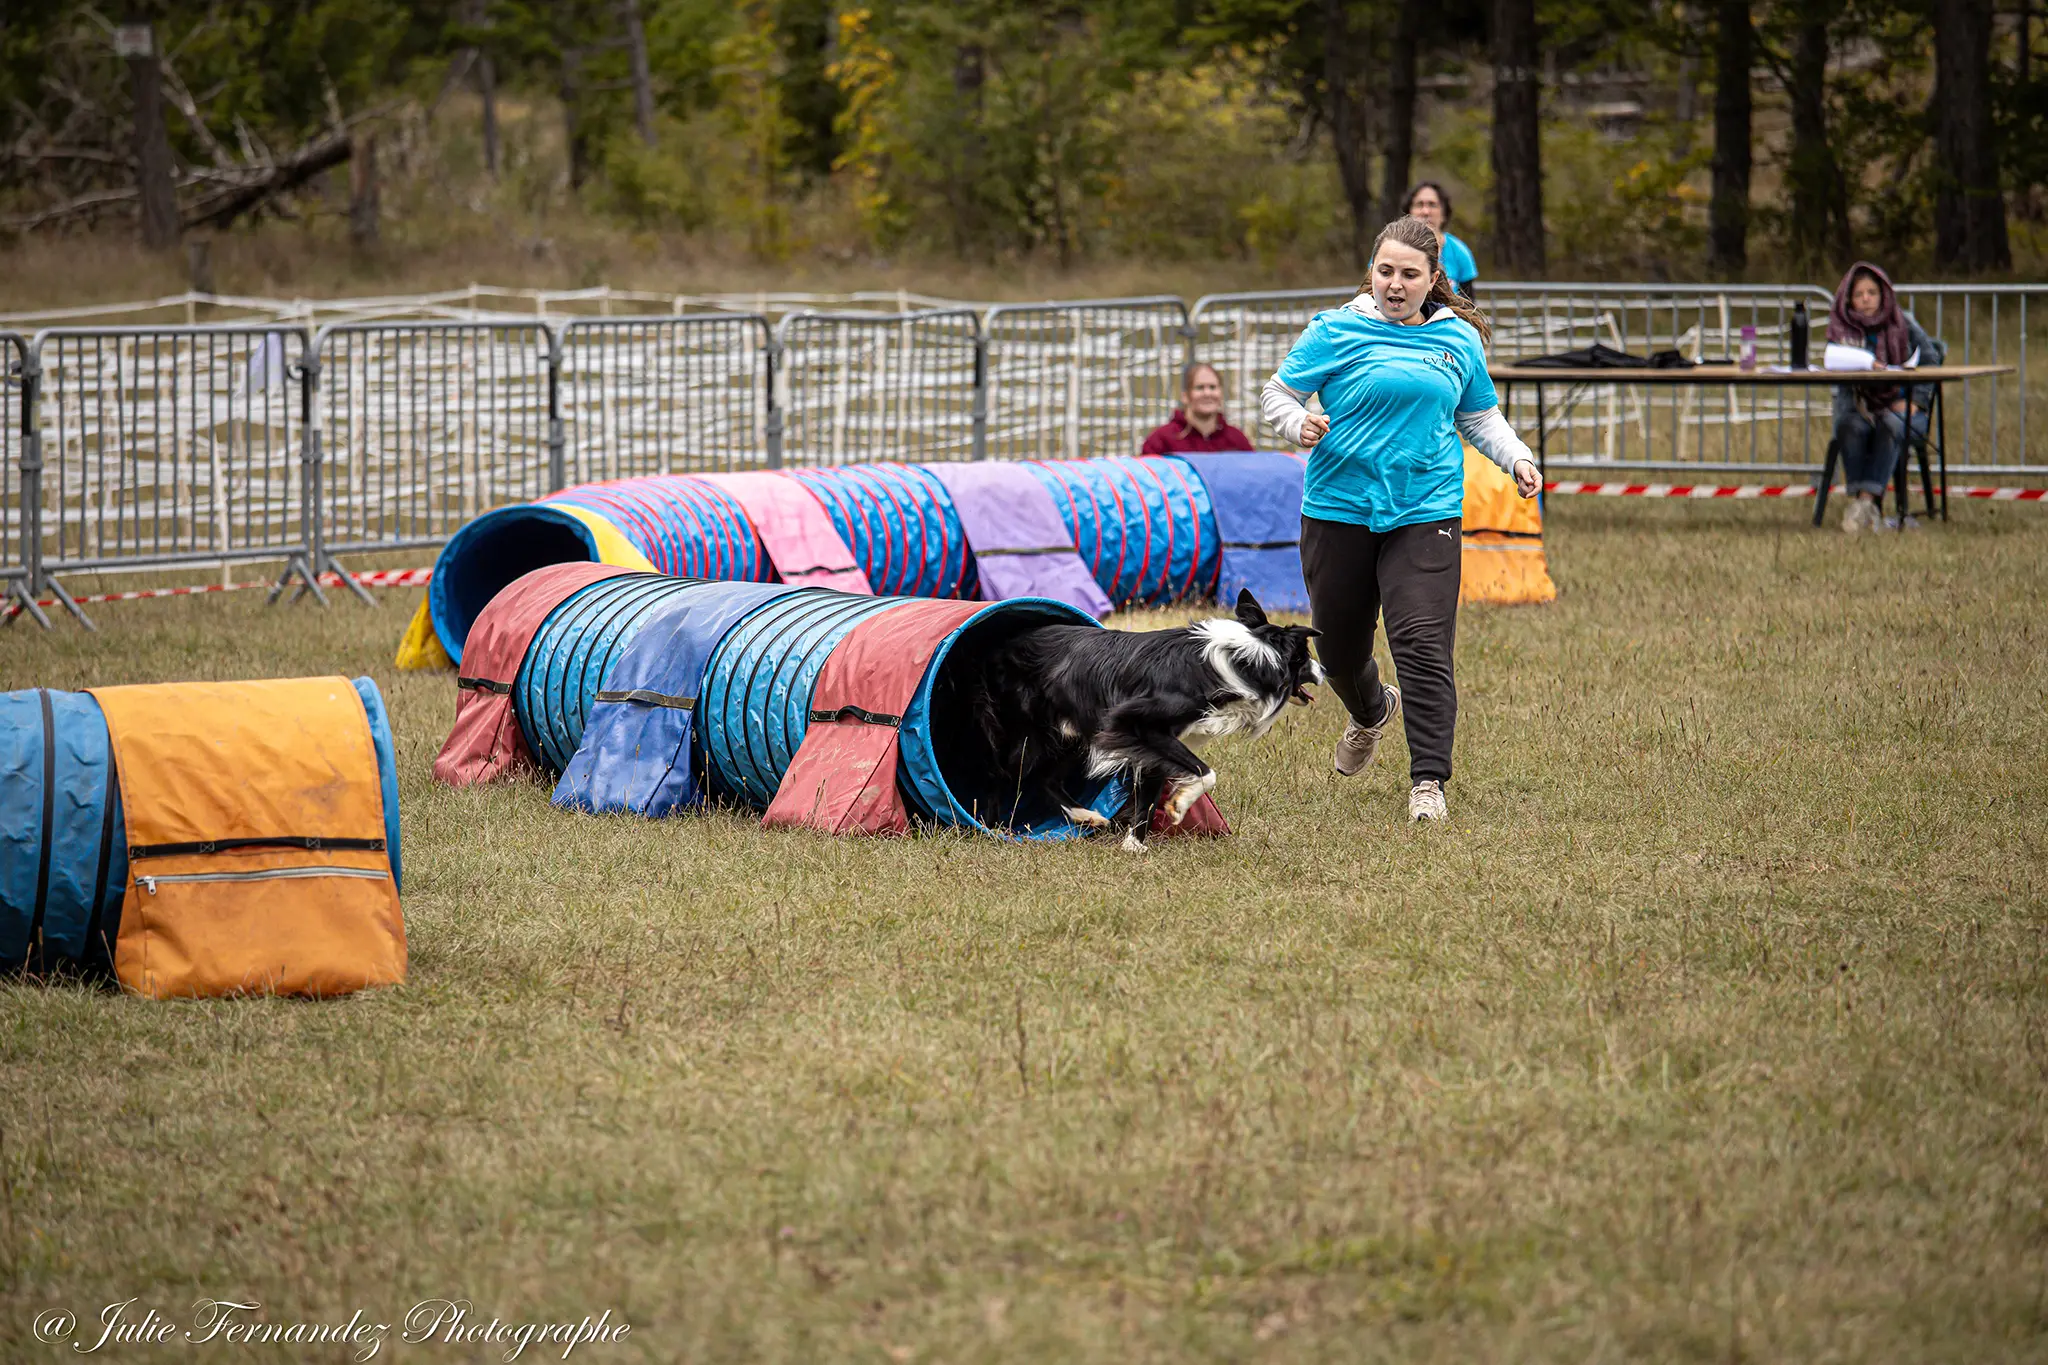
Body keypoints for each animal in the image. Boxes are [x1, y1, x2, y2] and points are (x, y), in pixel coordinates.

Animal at [962, 589, 1327, 847]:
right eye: (1306, 655)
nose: (1325, 670)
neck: (1245, 660)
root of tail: (996, 648)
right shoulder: (1137, 724)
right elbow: (1206, 772)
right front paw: (1179, 805)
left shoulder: (1151, 742)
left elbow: (1150, 793)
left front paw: (1135, 845)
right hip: (1030, 734)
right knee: (1002, 774)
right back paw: (991, 825)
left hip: (1073, 734)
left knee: (1045, 779)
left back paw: (1086, 816)